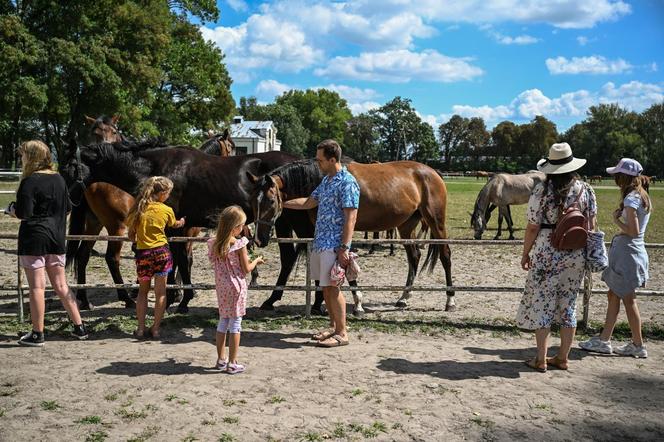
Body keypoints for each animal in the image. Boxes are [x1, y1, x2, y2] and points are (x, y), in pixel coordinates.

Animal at [59, 140, 314, 312]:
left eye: (69, 166)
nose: (65, 200)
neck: (155, 171)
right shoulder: (178, 228)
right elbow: (178, 259)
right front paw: (179, 297)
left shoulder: (176, 227)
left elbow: (178, 259)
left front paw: (179, 299)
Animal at [249, 159, 456, 310]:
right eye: (252, 200)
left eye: (271, 201)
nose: (259, 239)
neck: (319, 181)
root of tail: (433, 173)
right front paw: (320, 302)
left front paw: (352, 301)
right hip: (406, 226)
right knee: (414, 256)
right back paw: (404, 297)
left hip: (436, 222)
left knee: (445, 255)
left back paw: (450, 299)